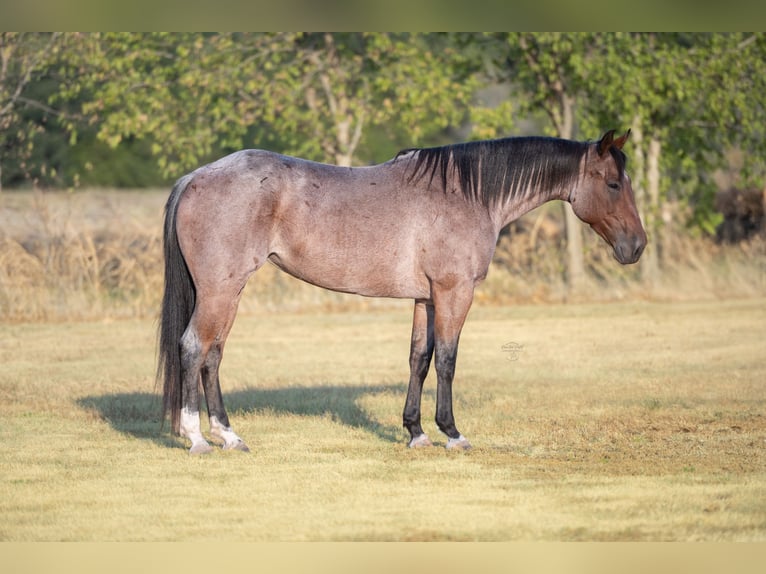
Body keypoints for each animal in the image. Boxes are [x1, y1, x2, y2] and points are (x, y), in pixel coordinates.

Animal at [157, 129, 646, 454]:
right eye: (613, 184)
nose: (636, 247)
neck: (467, 194)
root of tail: (194, 178)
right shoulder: (453, 292)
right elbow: (447, 359)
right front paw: (452, 433)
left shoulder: (425, 298)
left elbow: (419, 358)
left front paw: (416, 432)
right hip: (220, 291)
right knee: (193, 347)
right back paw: (197, 437)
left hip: (229, 292)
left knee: (213, 354)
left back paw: (229, 435)